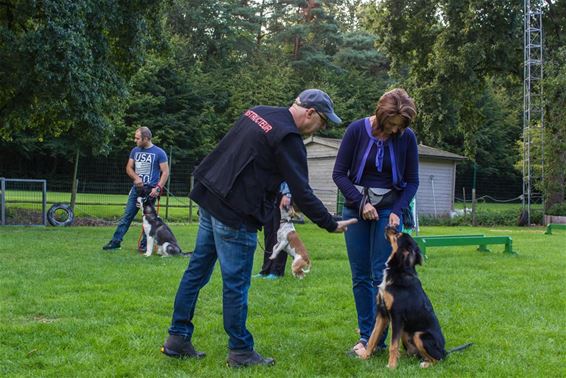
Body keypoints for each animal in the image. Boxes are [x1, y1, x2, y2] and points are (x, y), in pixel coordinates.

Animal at [366, 226, 472, 368]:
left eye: (398, 235)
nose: (388, 226)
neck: (399, 271)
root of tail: (445, 350)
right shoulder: (382, 314)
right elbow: (372, 338)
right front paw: (363, 357)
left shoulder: (397, 316)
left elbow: (393, 345)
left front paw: (392, 366)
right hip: (406, 333)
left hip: (419, 335)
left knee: (439, 359)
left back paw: (425, 364)